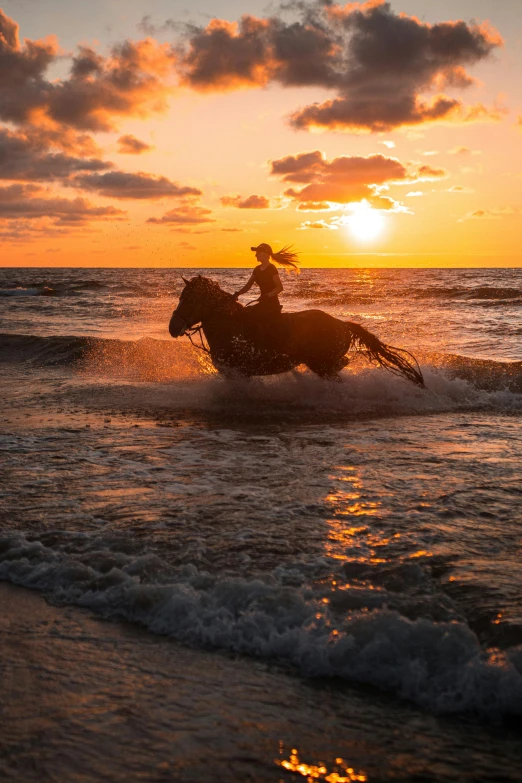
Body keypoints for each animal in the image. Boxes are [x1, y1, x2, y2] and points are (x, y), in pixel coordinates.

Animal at [168, 274, 422, 388]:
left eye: (187, 299)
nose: (172, 328)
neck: (229, 325)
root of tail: (341, 323)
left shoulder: (239, 372)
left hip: (321, 365)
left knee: (338, 368)